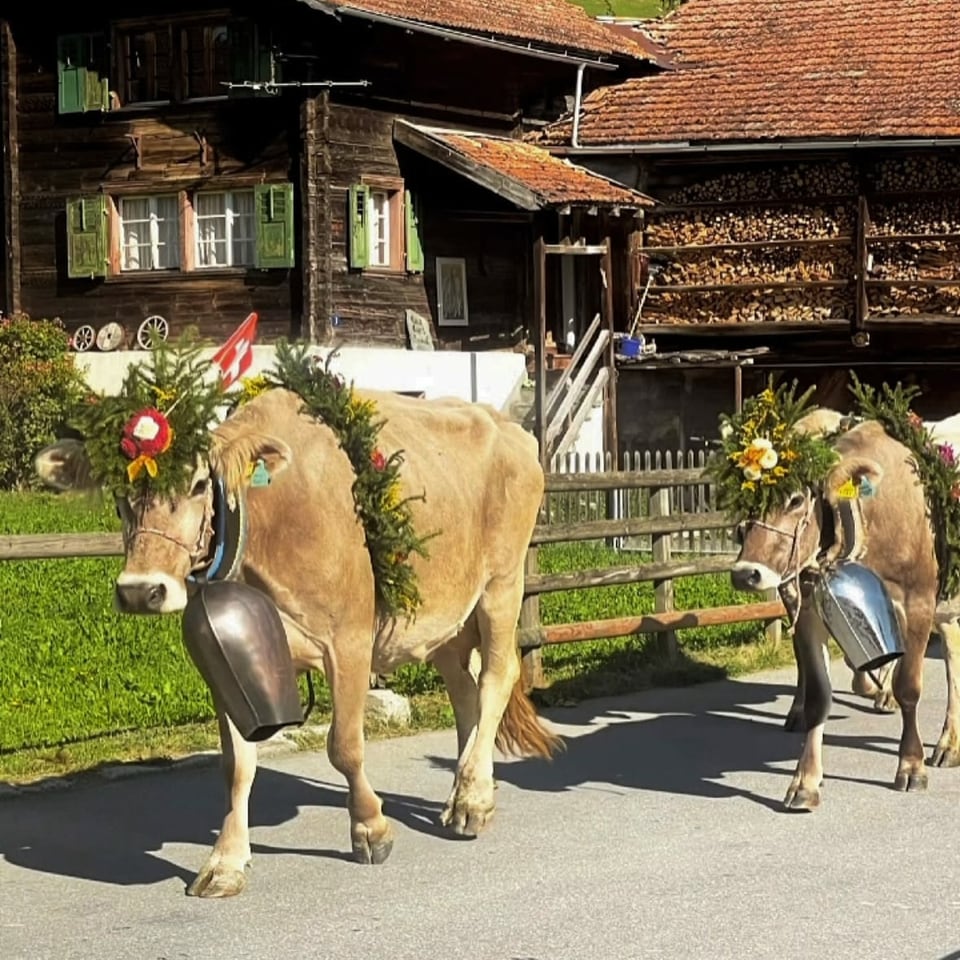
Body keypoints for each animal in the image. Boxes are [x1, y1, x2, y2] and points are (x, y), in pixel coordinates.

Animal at [37, 386, 564, 896]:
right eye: (118, 493)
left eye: (199, 484)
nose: (140, 590)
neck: (269, 520)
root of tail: (507, 426)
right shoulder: (227, 661)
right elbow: (237, 765)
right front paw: (225, 863)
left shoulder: (349, 640)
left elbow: (344, 746)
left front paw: (371, 829)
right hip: (445, 618)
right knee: (465, 693)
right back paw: (468, 794)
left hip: (501, 585)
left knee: (496, 677)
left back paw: (471, 801)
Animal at [732, 412, 960, 808]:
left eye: (795, 499)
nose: (746, 573)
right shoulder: (810, 610)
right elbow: (819, 697)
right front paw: (804, 781)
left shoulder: (918, 602)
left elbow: (909, 687)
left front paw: (911, 765)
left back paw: (945, 742)